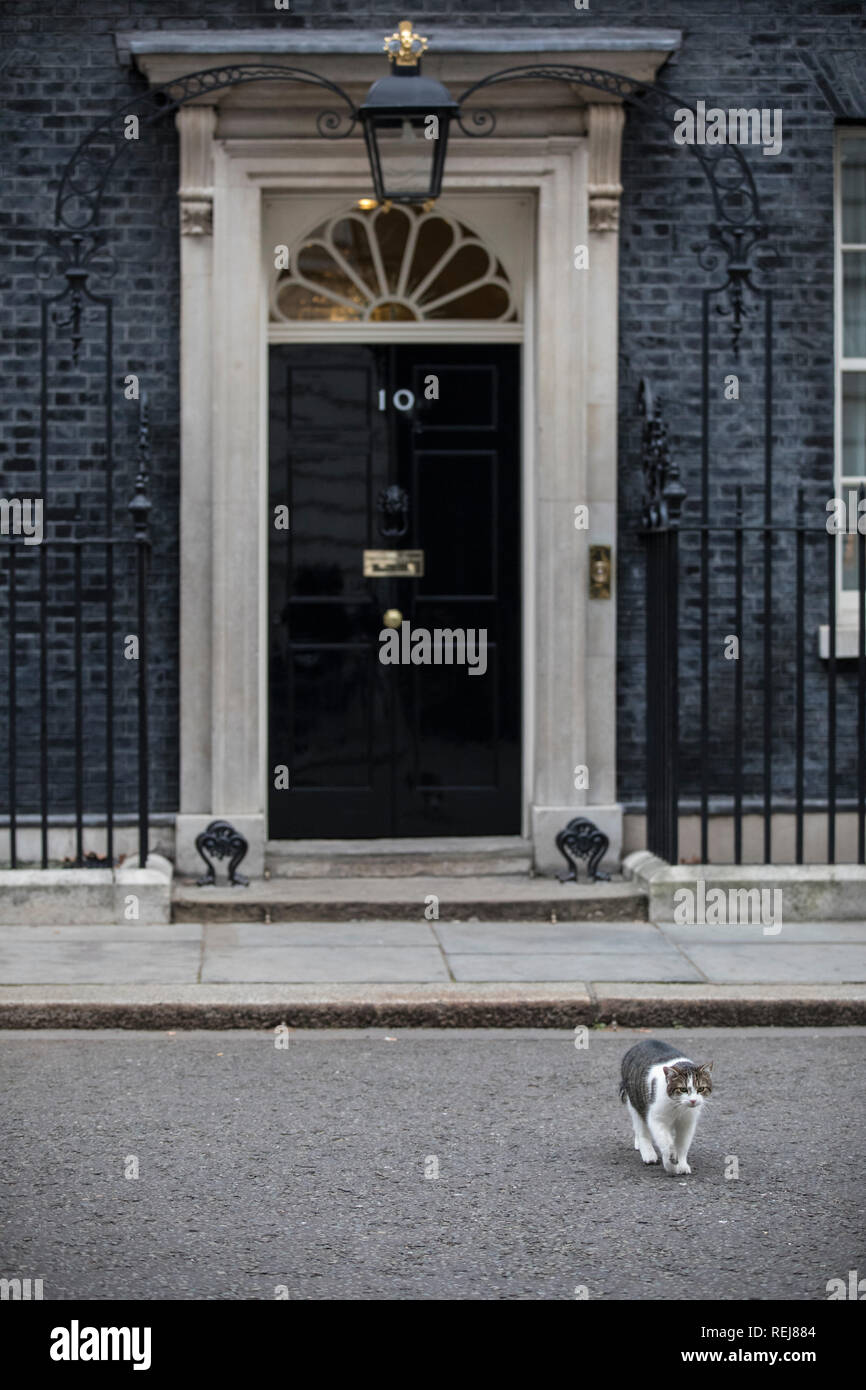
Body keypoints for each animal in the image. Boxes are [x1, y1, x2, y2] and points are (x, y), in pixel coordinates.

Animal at [619, 1045, 717, 1173]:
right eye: (683, 1089)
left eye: (701, 1089)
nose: (693, 1100)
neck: (678, 1107)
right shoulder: (656, 1118)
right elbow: (665, 1141)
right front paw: (670, 1162)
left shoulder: (687, 1122)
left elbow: (682, 1144)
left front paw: (682, 1164)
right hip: (636, 1101)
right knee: (641, 1129)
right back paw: (648, 1153)